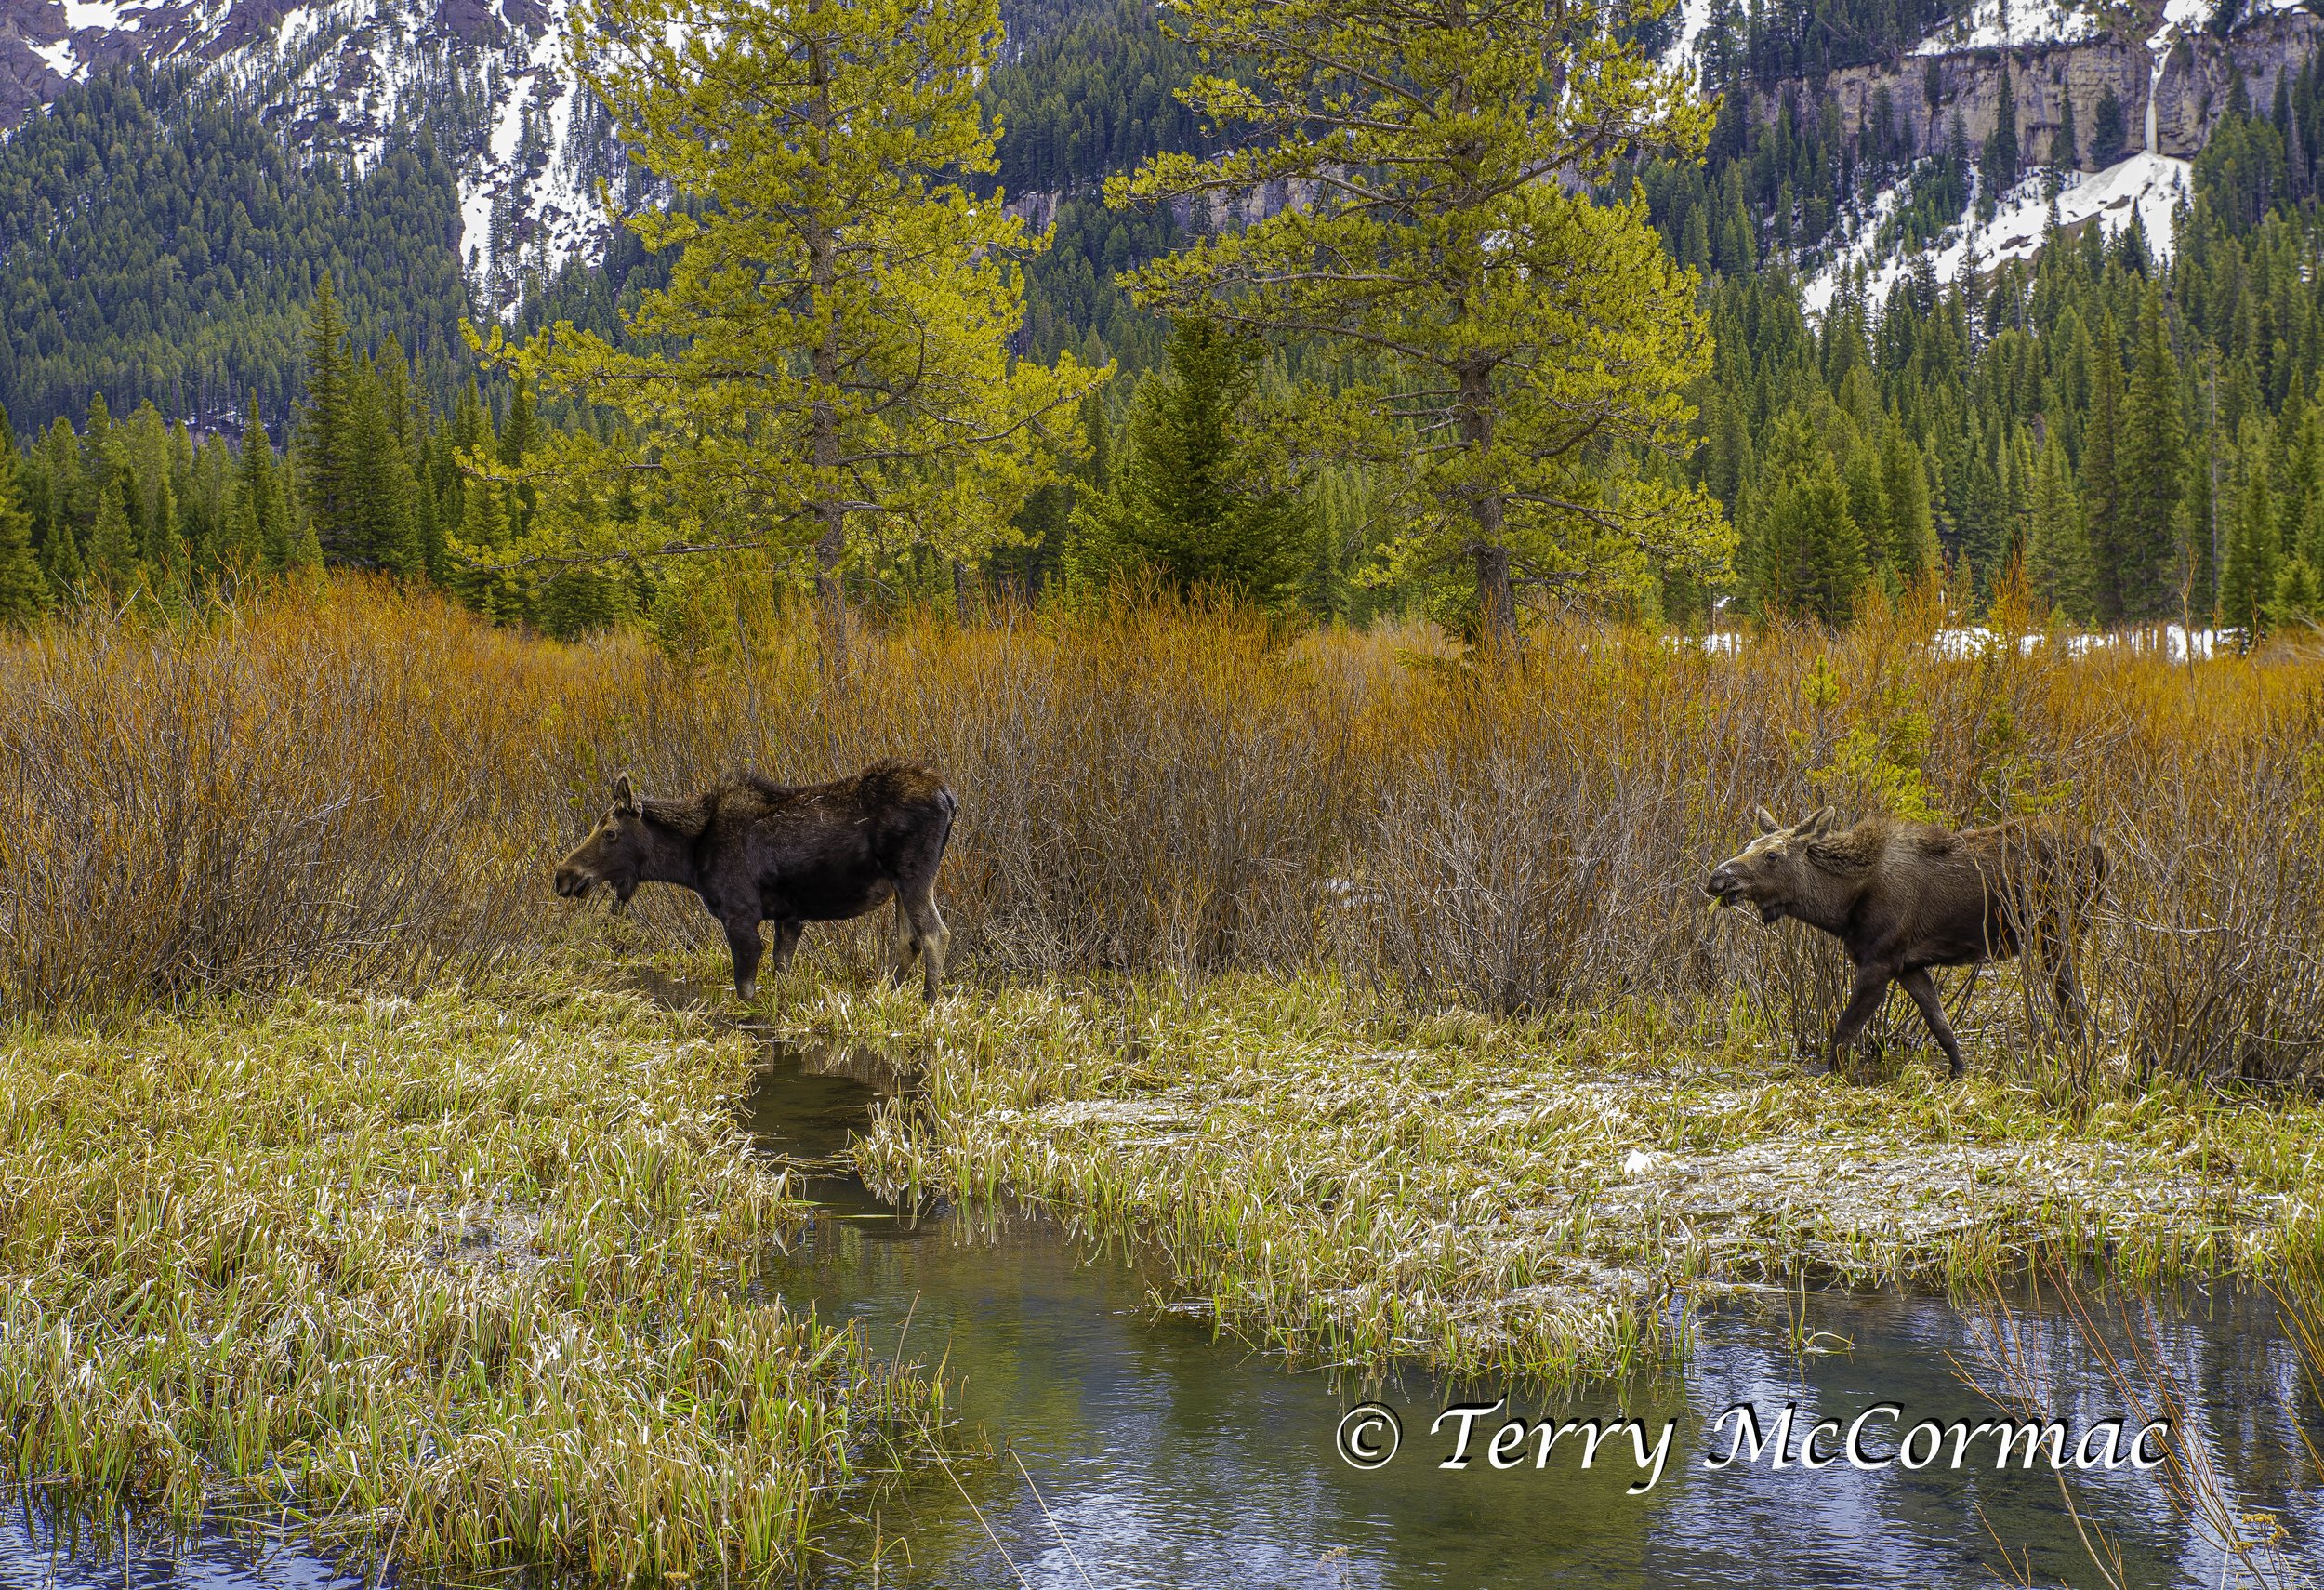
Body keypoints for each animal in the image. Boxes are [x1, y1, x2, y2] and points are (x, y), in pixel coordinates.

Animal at [553, 759, 957, 1002]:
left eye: (609, 833)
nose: (563, 875)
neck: (690, 858)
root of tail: (949, 798)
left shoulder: (740, 916)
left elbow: (745, 989)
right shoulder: (789, 917)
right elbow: (782, 973)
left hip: (914, 877)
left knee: (936, 933)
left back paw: (929, 1002)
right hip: (900, 885)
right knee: (908, 940)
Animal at [1704, 806, 2106, 1078]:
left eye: (1772, 855)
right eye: (1750, 843)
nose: (1716, 878)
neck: (1841, 906)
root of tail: (2103, 850)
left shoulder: (1878, 962)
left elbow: (1843, 1031)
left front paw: (1822, 1073)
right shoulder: (1909, 965)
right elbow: (1942, 1028)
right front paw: (1960, 1072)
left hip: (2058, 931)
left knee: (2072, 1002)